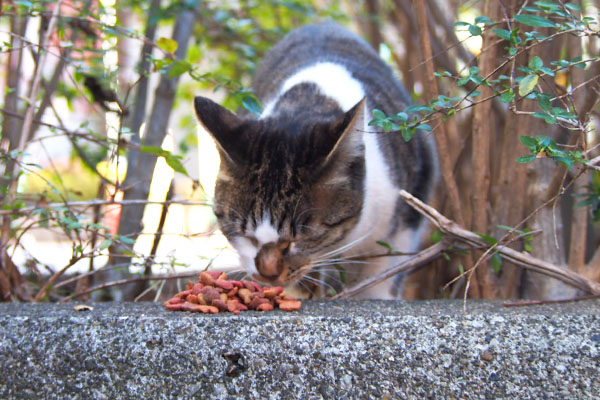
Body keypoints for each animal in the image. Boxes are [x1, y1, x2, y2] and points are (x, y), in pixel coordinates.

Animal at [195, 21, 438, 296]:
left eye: (303, 237)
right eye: (245, 234)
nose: (267, 273)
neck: (310, 101)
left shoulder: (405, 214)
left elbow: (383, 276)